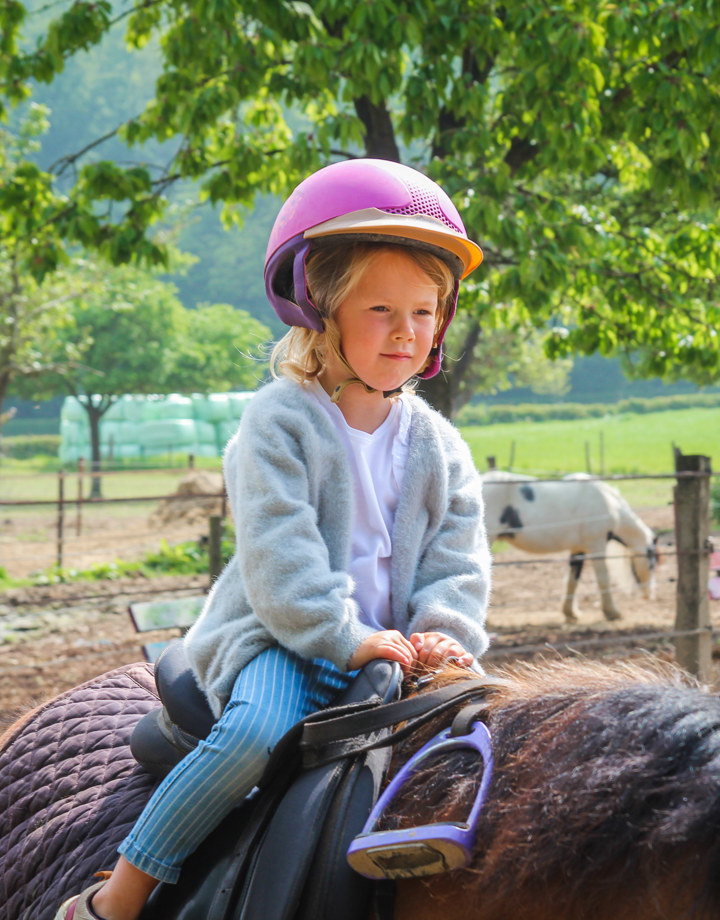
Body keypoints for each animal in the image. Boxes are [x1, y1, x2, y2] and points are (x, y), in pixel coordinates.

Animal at [481, 470, 659, 623]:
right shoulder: (597, 546)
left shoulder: (578, 550)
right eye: (652, 564)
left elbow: (572, 580)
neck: (608, 503)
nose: (649, 595)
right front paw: (612, 612)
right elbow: (603, 579)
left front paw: (570, 613)